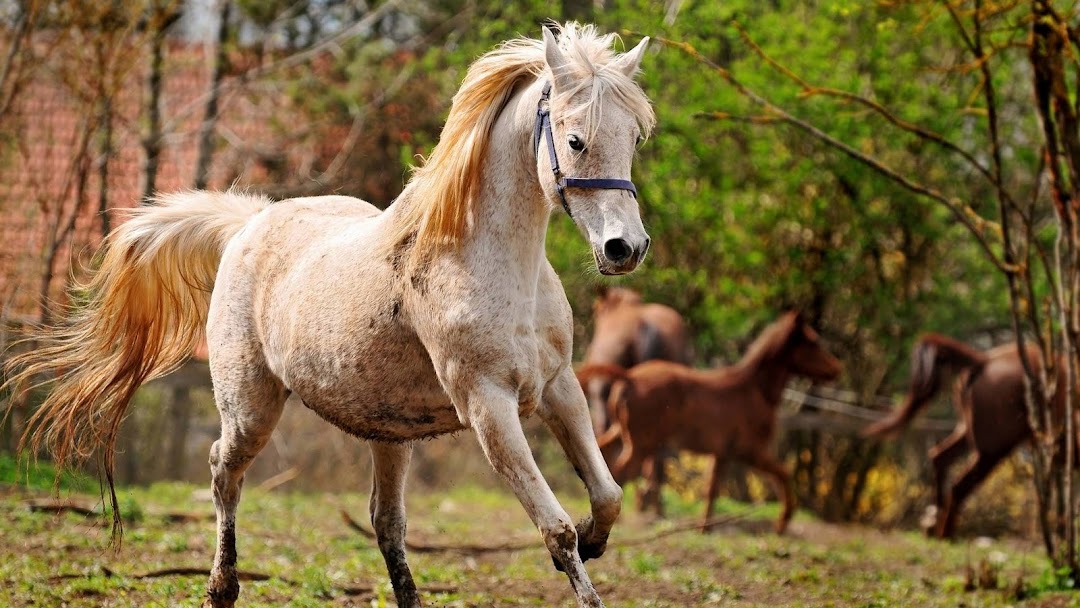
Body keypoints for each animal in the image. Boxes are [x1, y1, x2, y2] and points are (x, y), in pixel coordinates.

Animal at [578, 311, 838, 535]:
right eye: (813, 342)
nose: (837, 369)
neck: (753, 390)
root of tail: (629, 376)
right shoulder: (751, 451)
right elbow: (783, 474)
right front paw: (782, 523)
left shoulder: (722, 454)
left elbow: (711, 489)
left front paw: (704, 528)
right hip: (642, 444)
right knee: (620, 473)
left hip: (622, 432)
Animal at [859, 334, 1062, 539]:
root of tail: (983, 361)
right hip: (993, 448)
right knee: (959, 486)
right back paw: (946, 535)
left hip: (968, 433)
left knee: (940, 458)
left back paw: (933, 525)